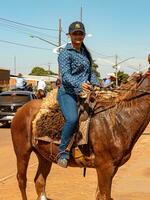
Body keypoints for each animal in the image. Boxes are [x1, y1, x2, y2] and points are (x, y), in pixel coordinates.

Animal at [11, 69, 150, 200]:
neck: (119, 119)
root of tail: (21, 110)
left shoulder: (112, 168)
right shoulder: (105, 167)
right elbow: (104, 196)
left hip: (44, 156)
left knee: (39, 181)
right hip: (22, 152)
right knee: (22, 180)